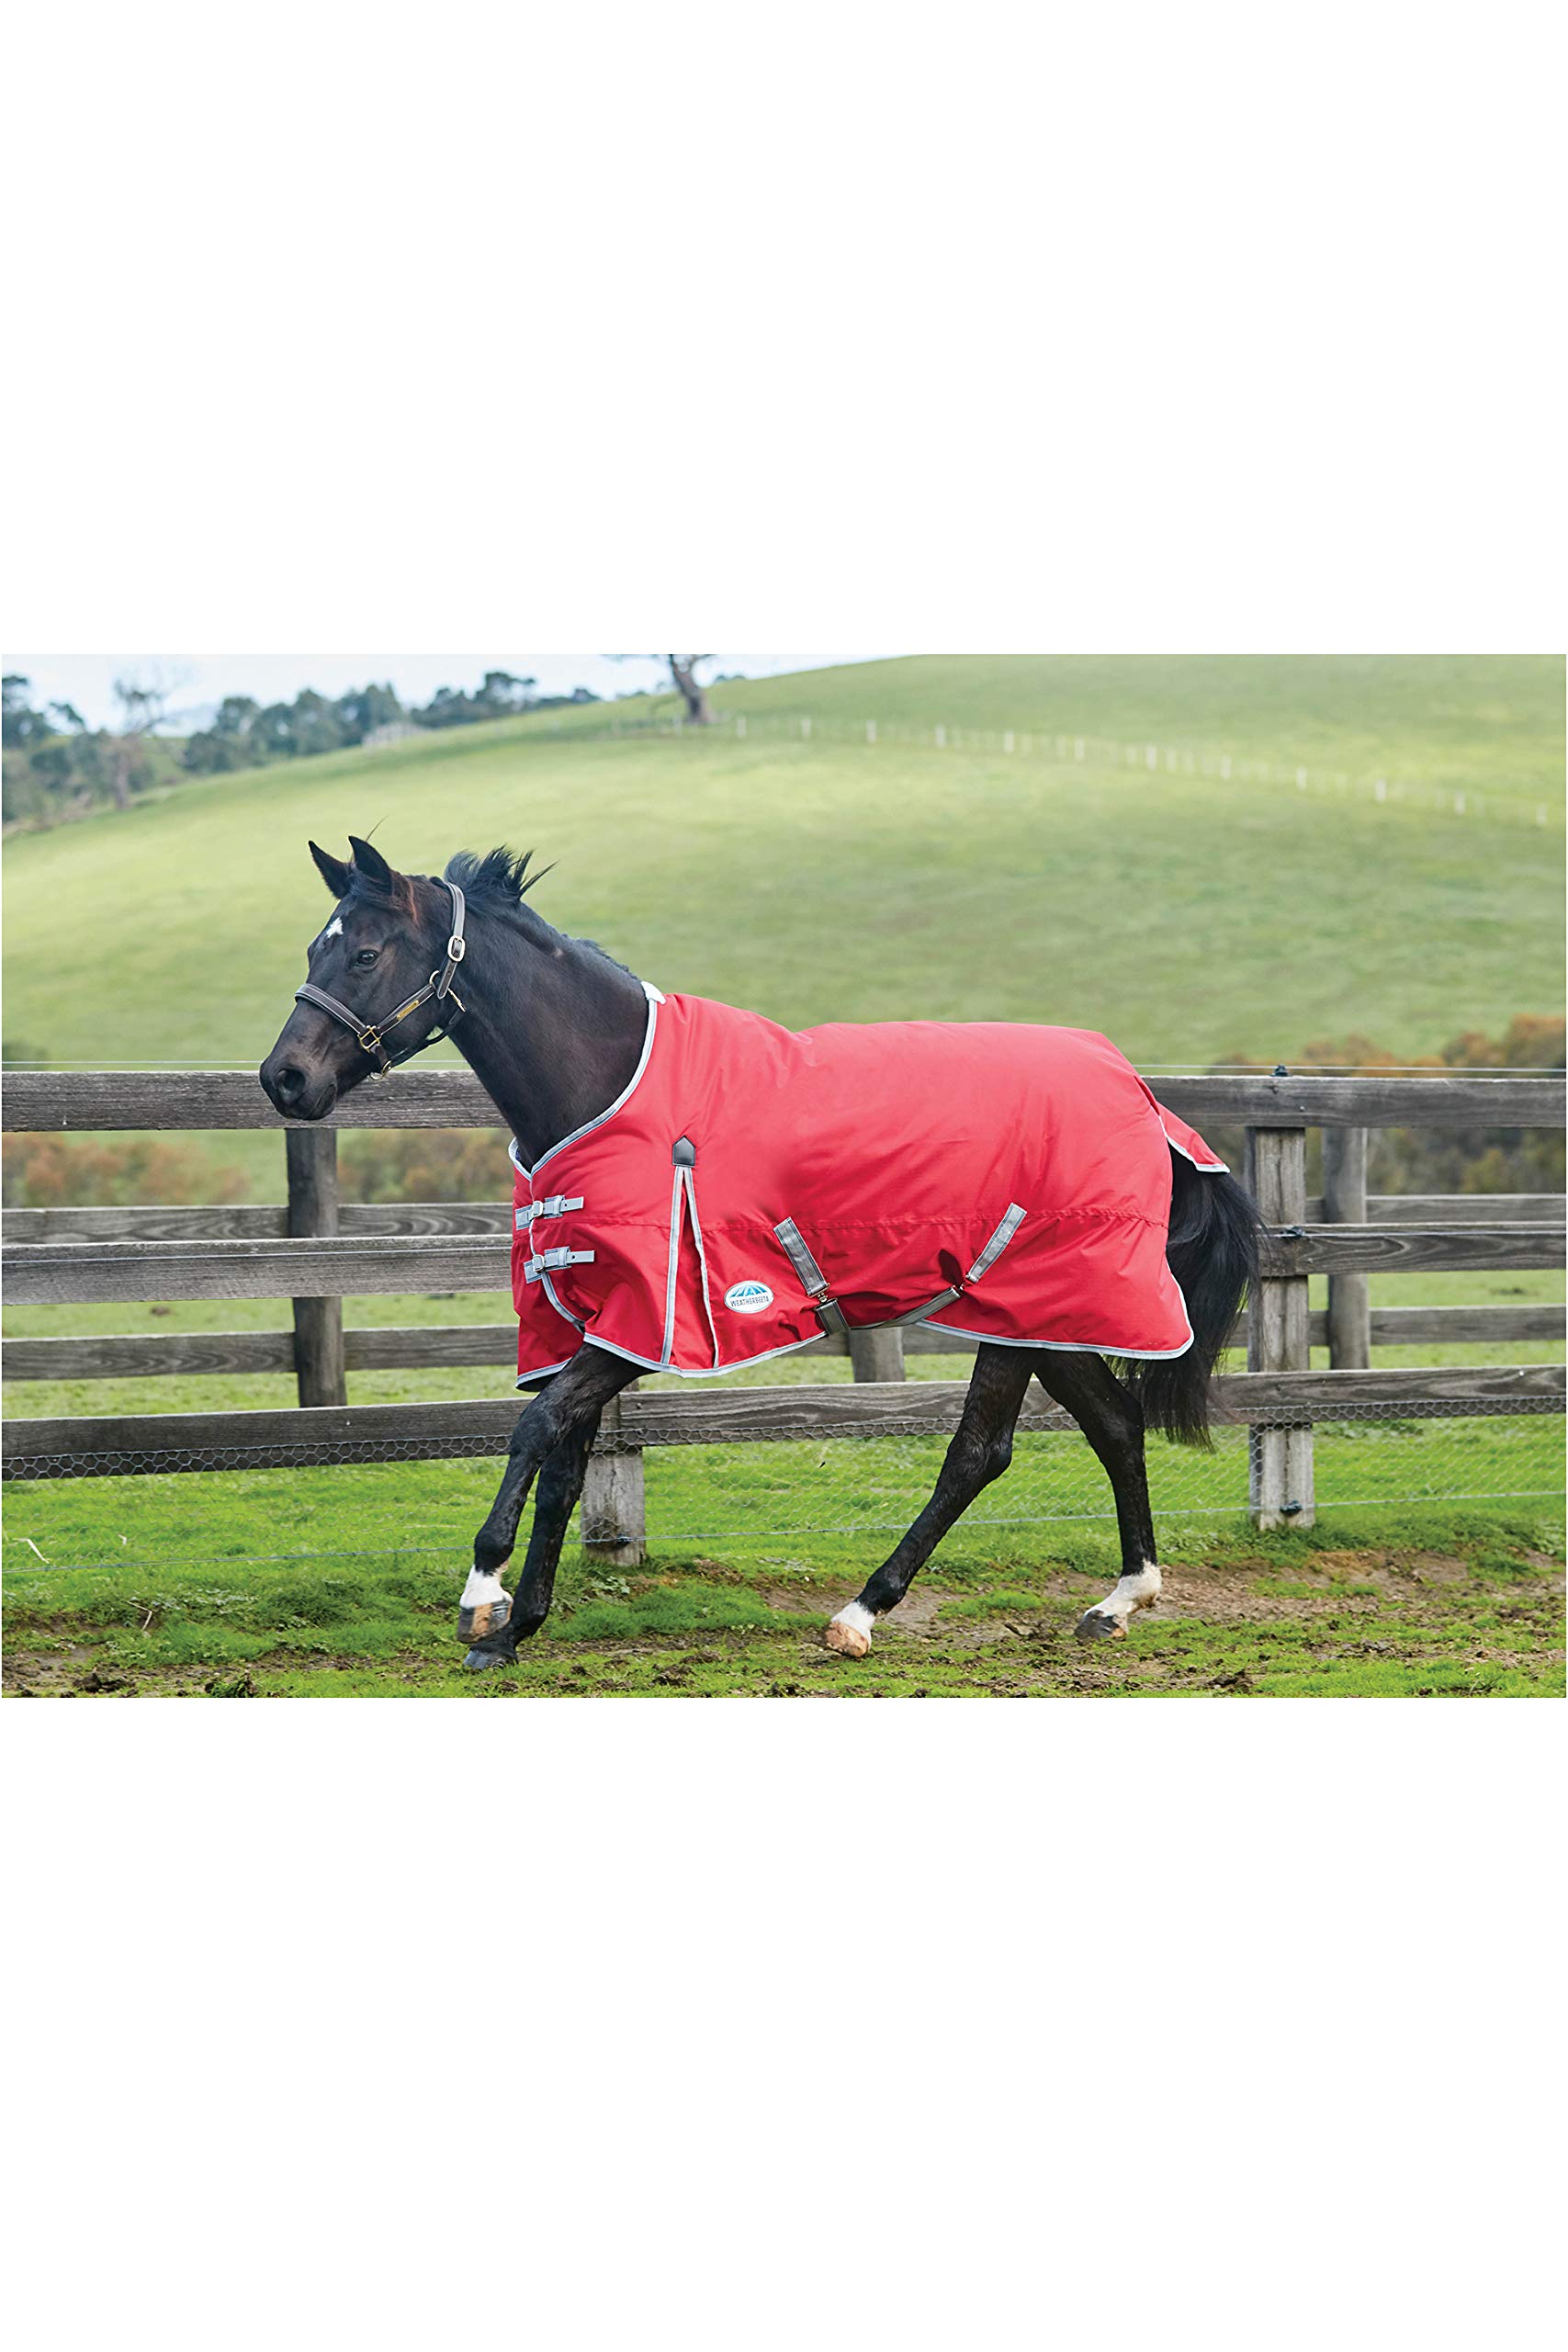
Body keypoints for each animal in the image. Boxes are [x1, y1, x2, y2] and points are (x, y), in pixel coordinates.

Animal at [260, 835, 1260, 1670]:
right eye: (310, 950)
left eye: (363, 953)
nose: (284, 1079)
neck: (610, 1088)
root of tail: (1147, 1101)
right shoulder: (585, 1322)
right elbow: (566, 1464)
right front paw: (518, 1629)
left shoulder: (641, 1329)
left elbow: (536, 1431)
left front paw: (483, 1599)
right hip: (1042, 1315)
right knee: (1112, 1424)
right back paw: (1118, 1600)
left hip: (1024, 1311)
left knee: (980, 1453)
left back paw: (861, 1614)